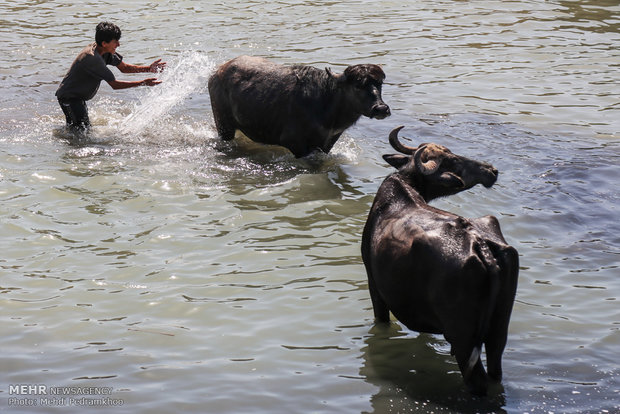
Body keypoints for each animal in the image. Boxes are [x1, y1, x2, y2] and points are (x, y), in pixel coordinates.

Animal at [208, 55, 392, 158]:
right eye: (357, 85)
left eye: (379, 83)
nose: (381, 109)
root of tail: (216, 73)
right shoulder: (295, 144)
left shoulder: (327, 144)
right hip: (223, 126)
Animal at [360, 126, 520, 394]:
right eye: (454, 161)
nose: (491, 170)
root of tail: (480, 245)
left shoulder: (375, 287)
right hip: (498, 331)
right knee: (496, 369)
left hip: (463, 337)